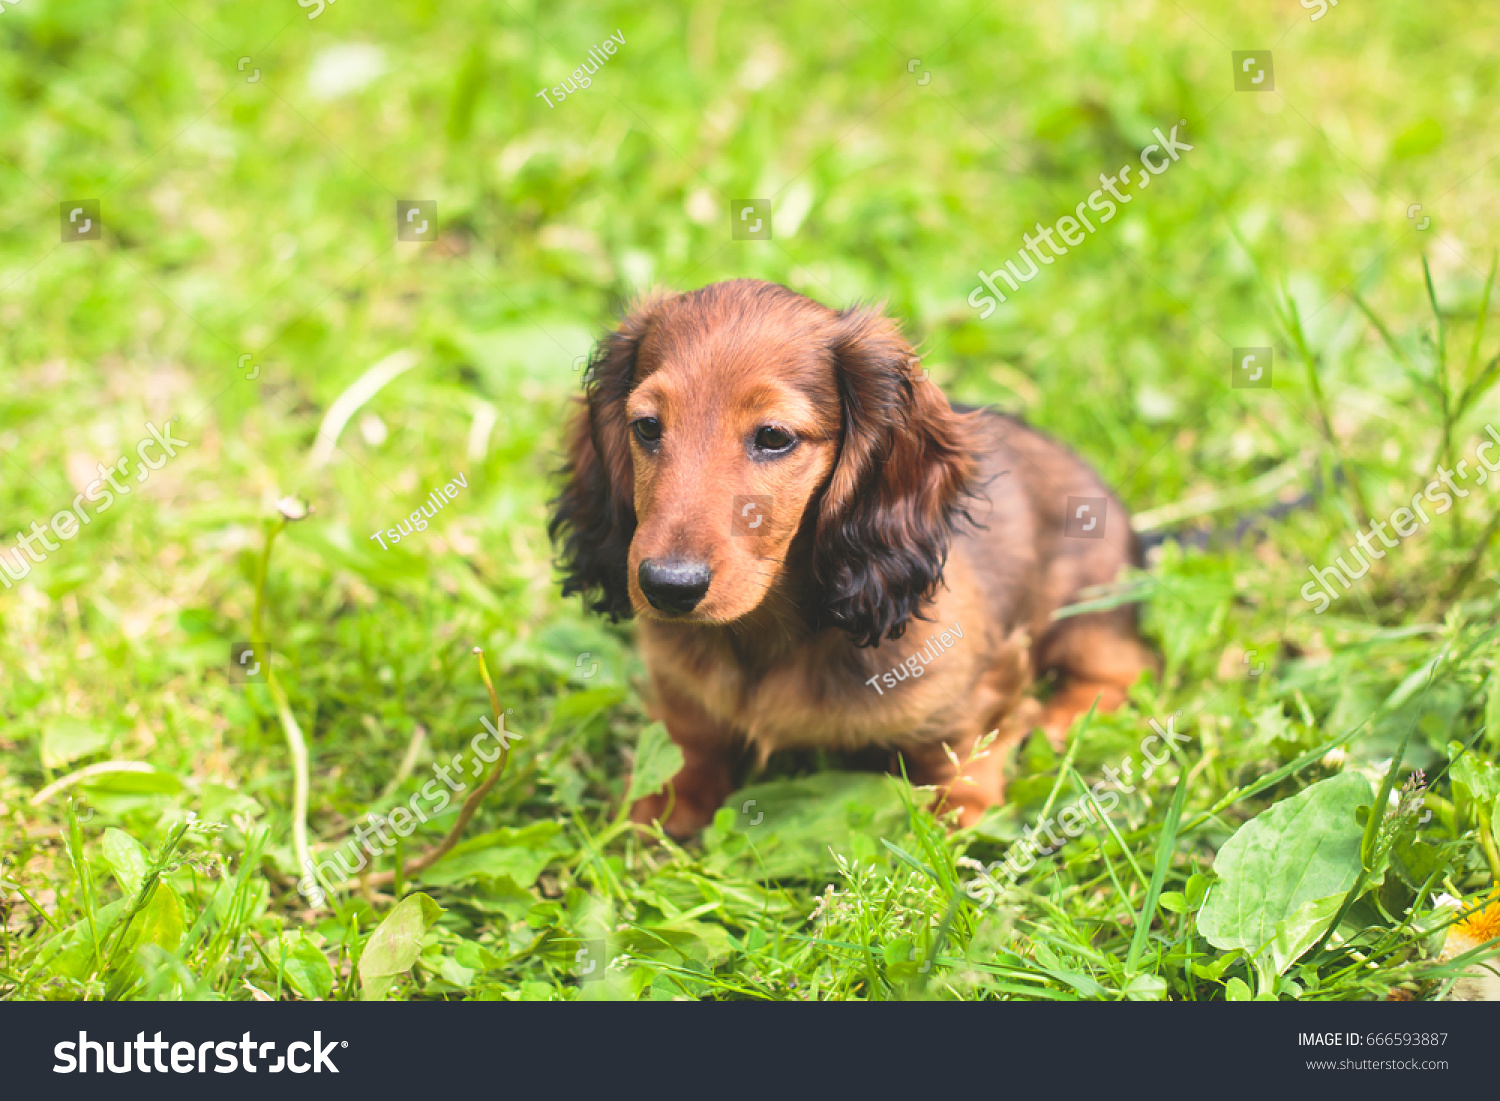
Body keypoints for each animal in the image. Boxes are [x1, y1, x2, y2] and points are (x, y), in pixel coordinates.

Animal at [552, 277, 1146, 834]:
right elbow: (689, 736)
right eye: (647, 426)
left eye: (774, 436)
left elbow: (963, 753)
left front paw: (955, 817)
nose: (668, 587)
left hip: (1084, 610)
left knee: (1126, 667)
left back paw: (1064, 721)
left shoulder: (987, 679)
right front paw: (666, 800)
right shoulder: (677, 679)